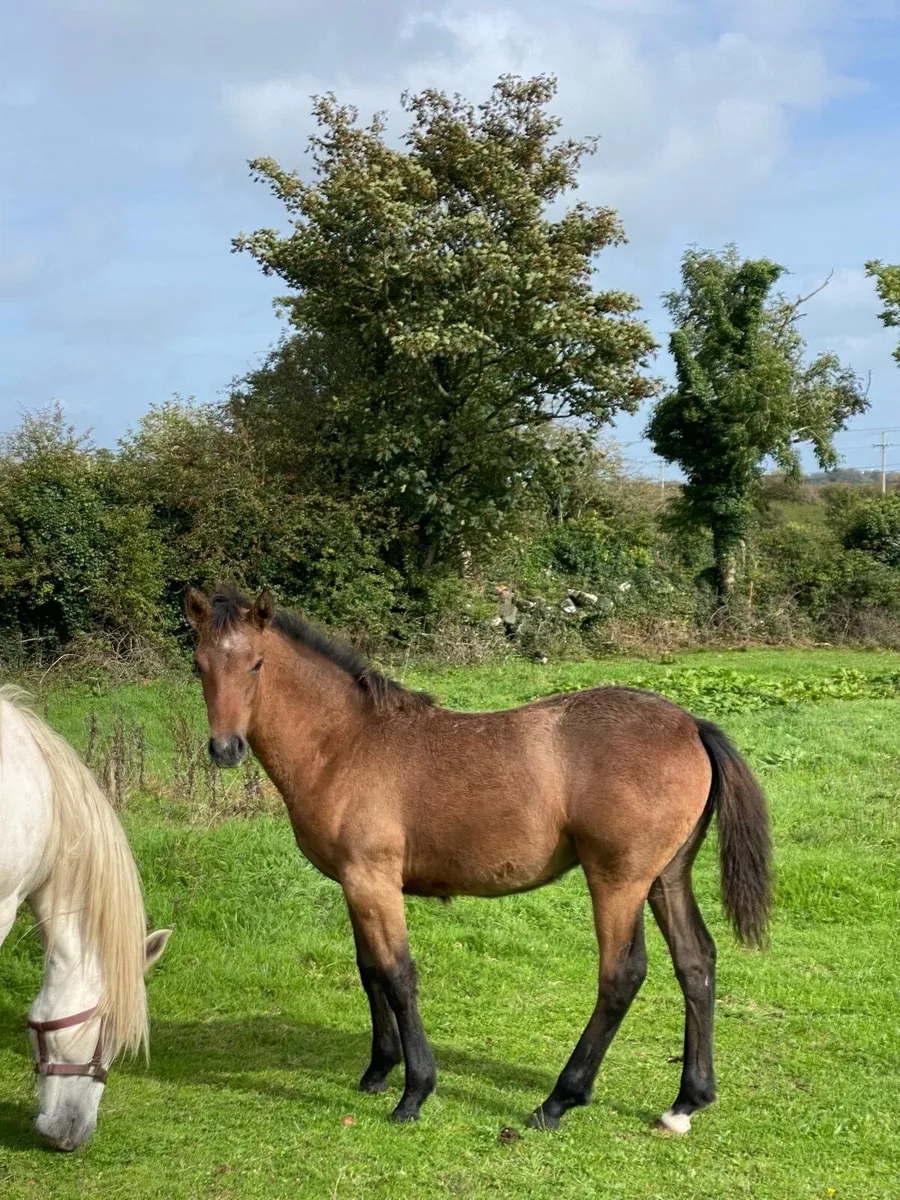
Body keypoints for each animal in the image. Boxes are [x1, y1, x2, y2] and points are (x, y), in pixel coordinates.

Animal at [186, 585, 771, 1134]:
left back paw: (558, 1101)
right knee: (696, 962)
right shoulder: (353, 883)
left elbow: (398, 976)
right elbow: (370, 970)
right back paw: (686, 1101)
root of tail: (691, 724)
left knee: (621, 975)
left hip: (618, 879)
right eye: (199, 664)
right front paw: (377, 1071)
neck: (345, 744)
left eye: (257, 663)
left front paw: (414, 1092)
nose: (225, 749)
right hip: (666, 876)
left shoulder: (372, 880)